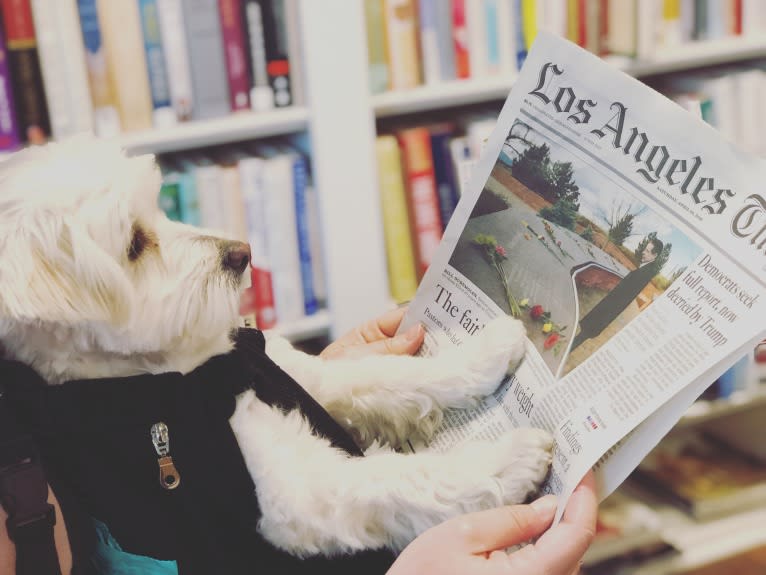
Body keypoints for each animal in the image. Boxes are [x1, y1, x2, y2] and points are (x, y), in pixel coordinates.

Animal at [0, 136, 552, 560]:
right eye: (135, 244)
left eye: (160, 207)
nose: (241, 253)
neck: (191, 369)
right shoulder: (290, 492)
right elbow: (398, 479)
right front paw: (508, 460)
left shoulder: (289, 369)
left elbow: (390, 376)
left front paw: (488, 351)